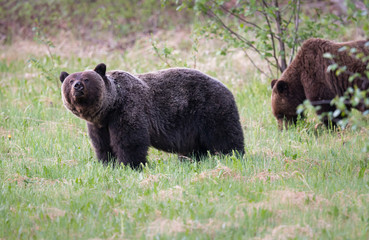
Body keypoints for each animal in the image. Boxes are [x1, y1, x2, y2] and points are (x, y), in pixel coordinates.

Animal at [59, 63, 244, 169]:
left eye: (87, 78)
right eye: (70, 80)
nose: (77, 86)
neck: (110, 107)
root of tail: (226, 86)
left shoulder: (128, 109)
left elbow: (130, 141)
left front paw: (131, 165)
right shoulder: (99, 125)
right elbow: (102, 145)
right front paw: (108, 163)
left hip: (209, 109)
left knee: (225, 136)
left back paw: (233, 155)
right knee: (194, 147)